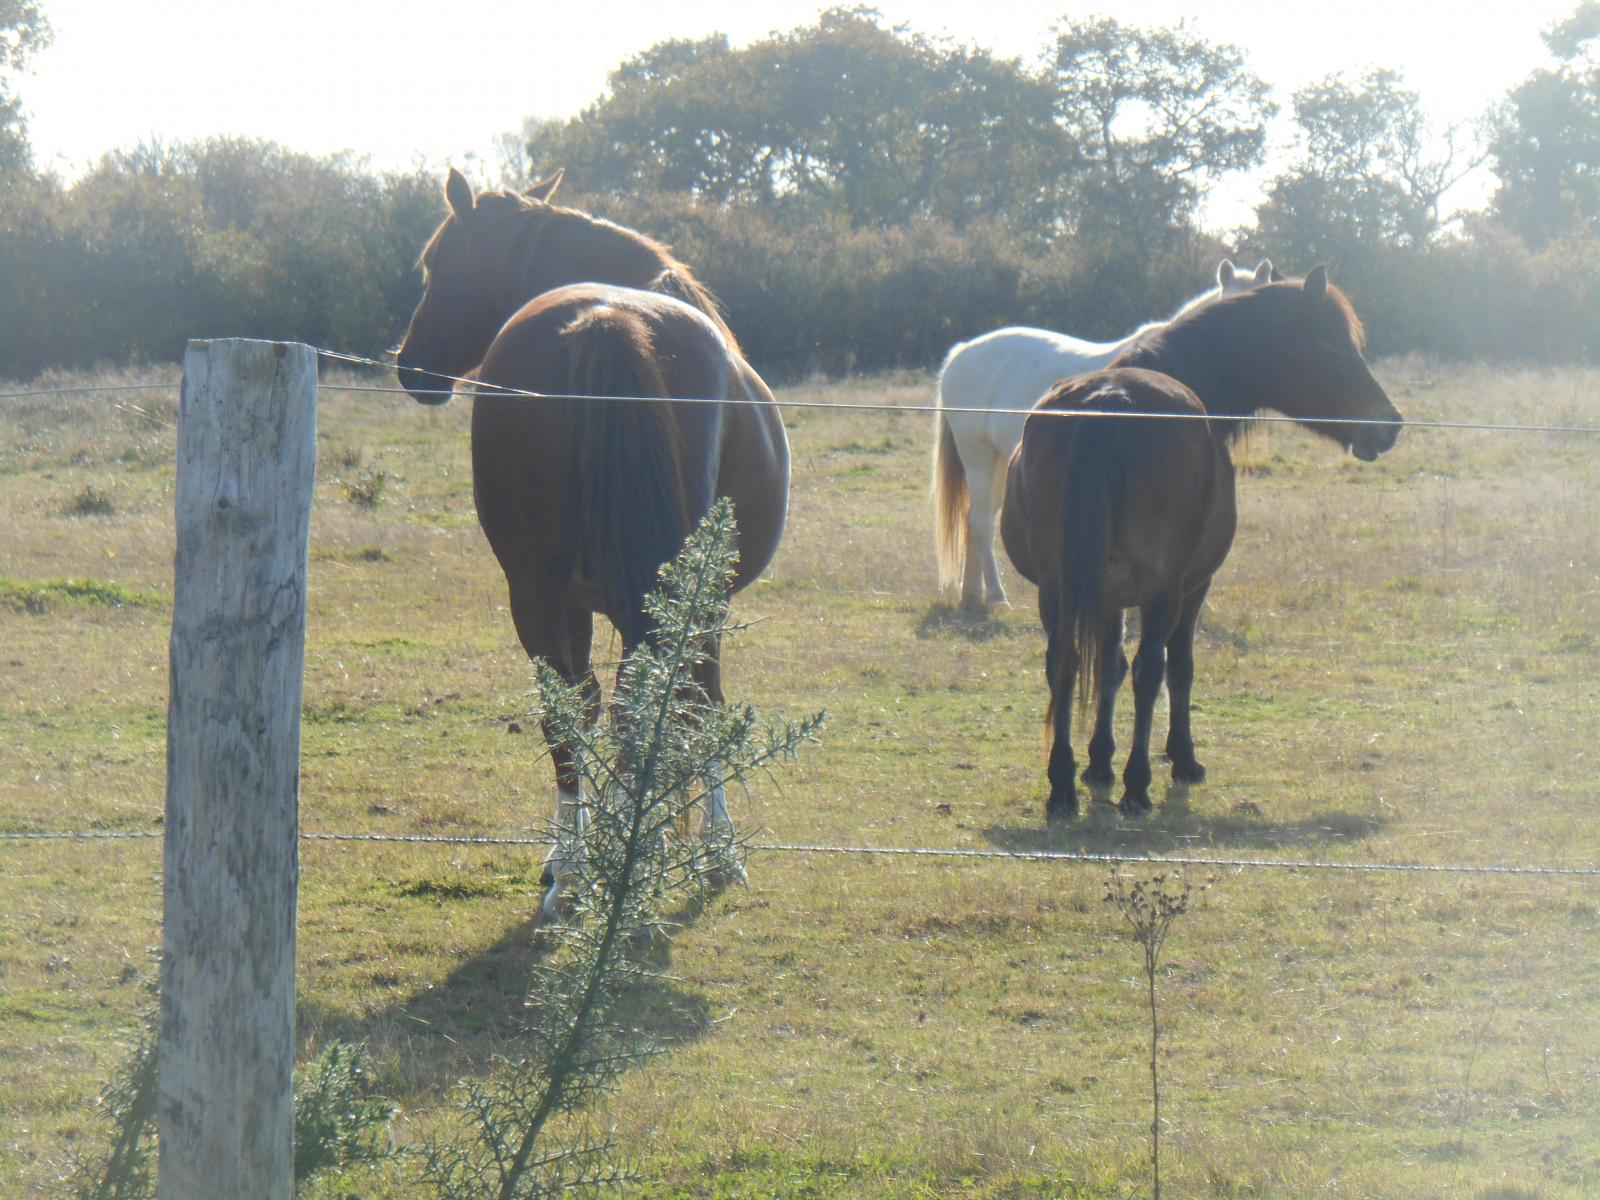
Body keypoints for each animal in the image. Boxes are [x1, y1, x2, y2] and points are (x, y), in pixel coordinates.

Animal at [395, 168, 789, 919]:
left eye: (435, 264)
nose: (411, 368)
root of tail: (607, 319)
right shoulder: (700, 600)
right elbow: (697, 703)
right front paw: (709, 847)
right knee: (631, 702)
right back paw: (605, 858)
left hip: (541, 589)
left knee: (577, 706)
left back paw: (582, 867)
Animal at [933, 259, 1280, 610]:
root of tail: (961, 352)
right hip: (978, 455)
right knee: (981, 522)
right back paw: (997, 595)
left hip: (1001, 461)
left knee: (975, 520)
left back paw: (973, 595)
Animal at [998, 267, 1401, 819]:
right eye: (1334, 348)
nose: (1390, 424)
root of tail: (1109, 402)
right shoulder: (1192, 587)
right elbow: (1179, 668)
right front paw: (1181, 758)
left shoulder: (1103, 594)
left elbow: (1108, 666)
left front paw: (1098, 762)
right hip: (1162, 592)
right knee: (1152, 669)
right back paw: (1138, 785)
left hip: (1058, 587)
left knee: (1064, 662)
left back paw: (1061, 785)